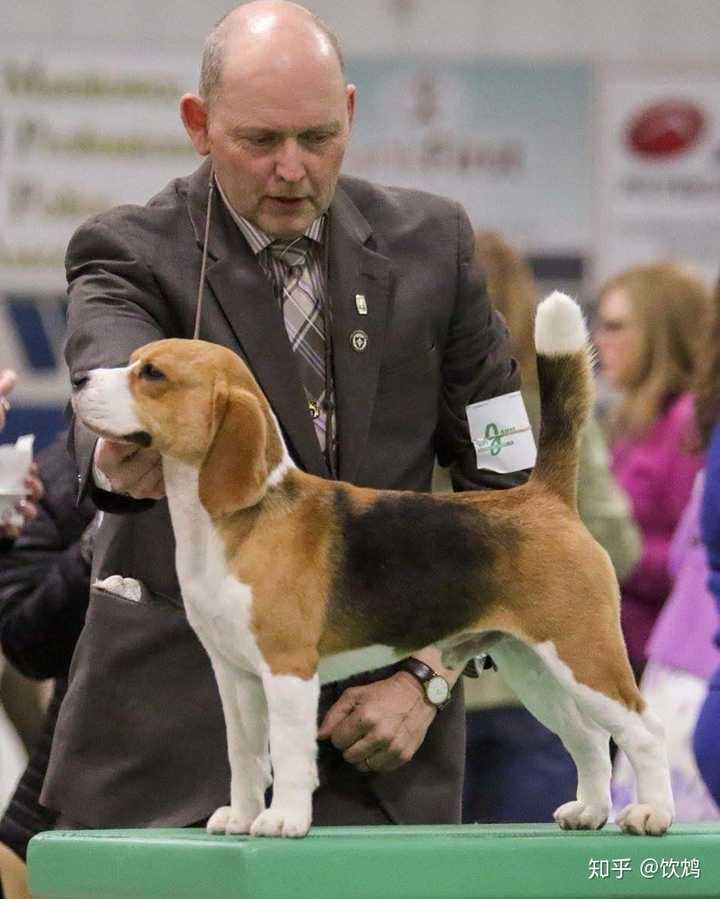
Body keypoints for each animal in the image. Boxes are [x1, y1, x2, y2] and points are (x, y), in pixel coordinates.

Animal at [73, 294, 676, 836]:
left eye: (152, 373)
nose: (78, 380)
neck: (237, 520)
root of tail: (543, 496)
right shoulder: (236, 674)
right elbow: (244, 756)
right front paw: (241, 817)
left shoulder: (288, 669)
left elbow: (288, 755)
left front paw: (283, 820)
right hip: (533, 665)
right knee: (589, 737)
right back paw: (591, 811)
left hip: (584, 653)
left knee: (646, 731)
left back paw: (653, 814)